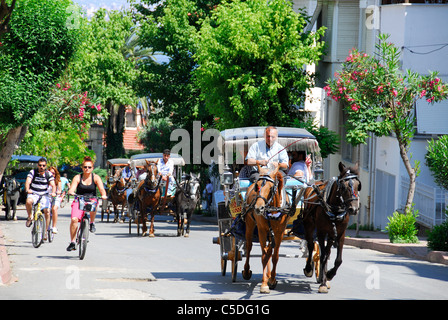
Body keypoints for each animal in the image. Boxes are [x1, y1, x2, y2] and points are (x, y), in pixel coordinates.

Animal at [240, 164, 288, 294]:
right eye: (257, 186)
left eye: (271, 188)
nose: (258, 208)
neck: (272, 210)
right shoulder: (261, 230)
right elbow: (263, 257)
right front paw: (264, 284)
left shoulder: (279, 232)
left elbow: (274, 256)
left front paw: (272, 279)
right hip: (250, 224)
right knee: (249, 246)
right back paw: (247, 271)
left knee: (269, 251)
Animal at [300, 162, 360, 292]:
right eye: (343, 187)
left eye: (359, 185)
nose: (354, 209)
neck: (335, 210)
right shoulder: (321, 232)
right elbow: (322, 256)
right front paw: (323, 283)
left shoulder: (340, 234)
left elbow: (338, 260)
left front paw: (329, 275)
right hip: (309, 225)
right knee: (311, 246)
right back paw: (309, 268)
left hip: (331, 234)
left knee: (327, 252)